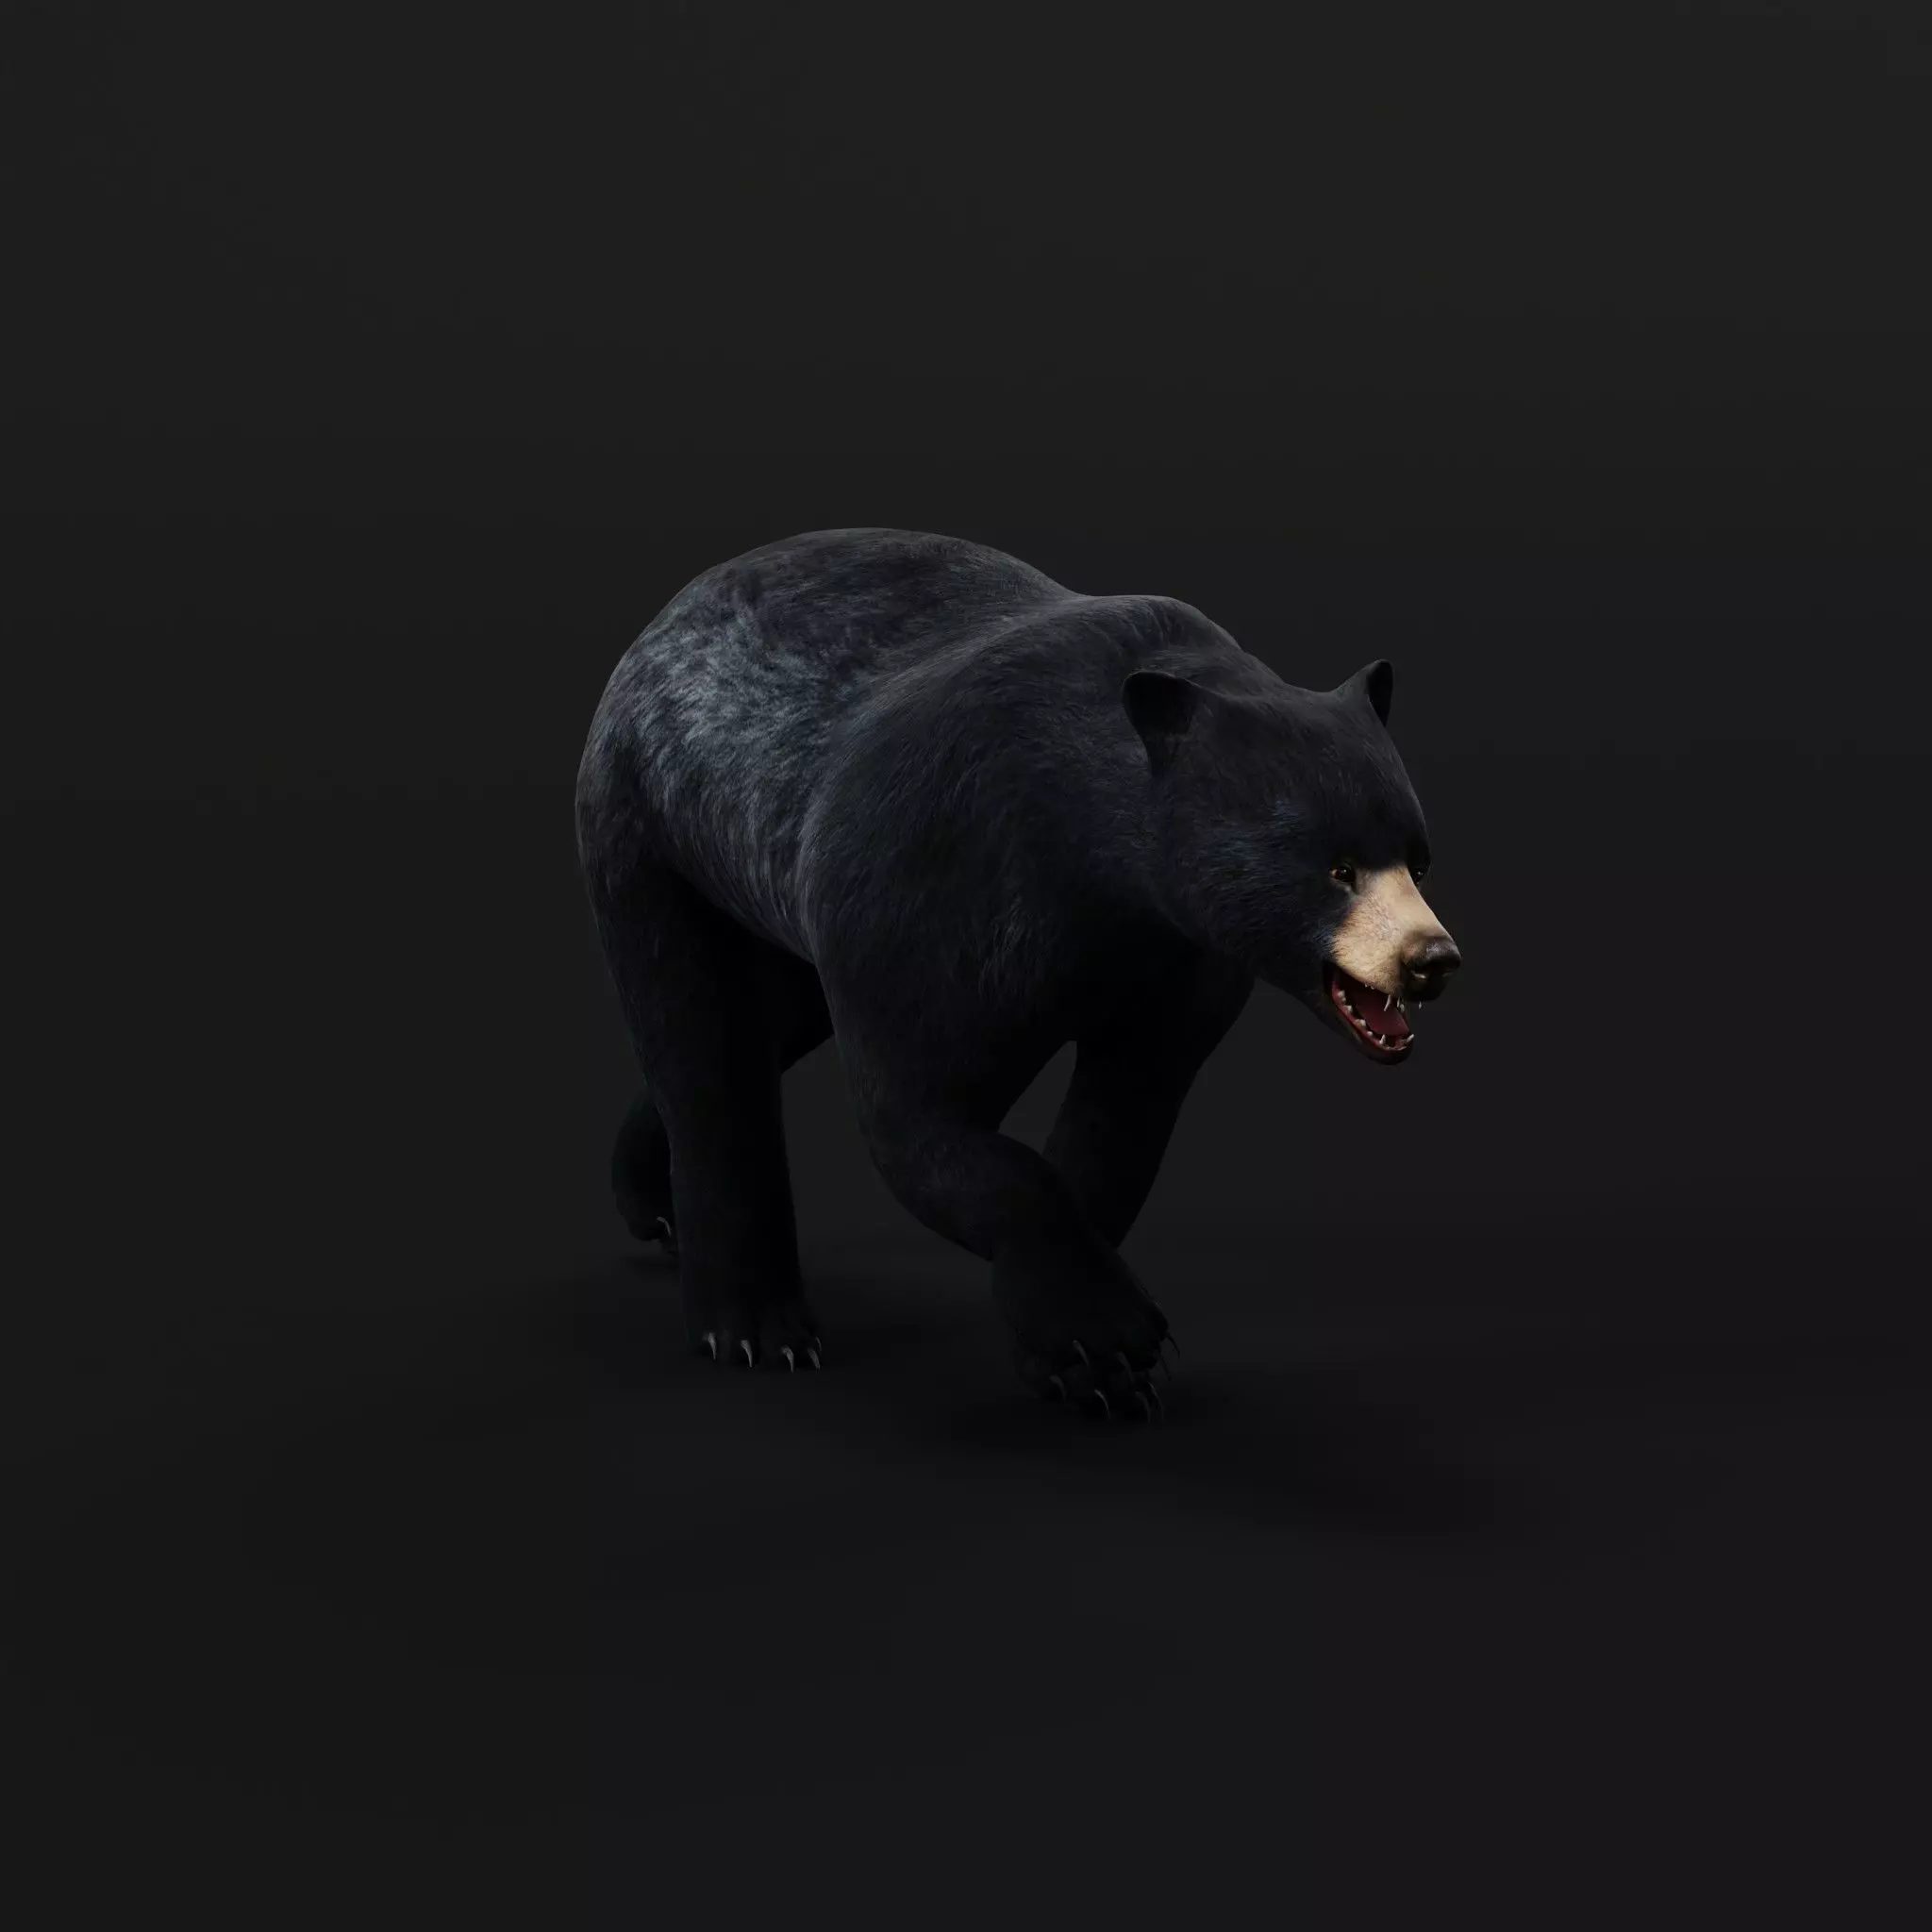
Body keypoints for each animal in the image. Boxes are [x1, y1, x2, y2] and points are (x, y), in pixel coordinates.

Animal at [575, 528, 1460, 1419]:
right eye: (1337, 869)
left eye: (1417, 859)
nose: (1432, 959)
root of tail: (664, 618)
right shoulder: (940, 885)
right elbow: (922, 1116)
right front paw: (1108, 1338)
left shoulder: (1177, 960)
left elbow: (1125, 1114)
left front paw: (1075, 1356)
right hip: (652, 827)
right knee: (698, 1040)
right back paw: (757, 1327)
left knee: (769, 1018)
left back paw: (652, 1199)